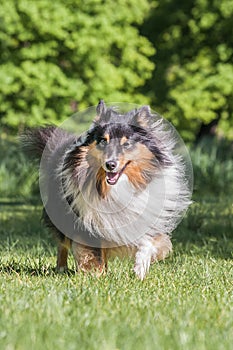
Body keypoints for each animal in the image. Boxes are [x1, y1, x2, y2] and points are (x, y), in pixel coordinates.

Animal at [21, 100, 192, 278]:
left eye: (126, 144)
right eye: (103, 141)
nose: (110, 164)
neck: (116, 187)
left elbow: (148, 242)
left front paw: (140, 270)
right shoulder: (87, 220)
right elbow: (92, 253)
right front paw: (96, 276)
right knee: (63, 244)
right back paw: (62, 269)